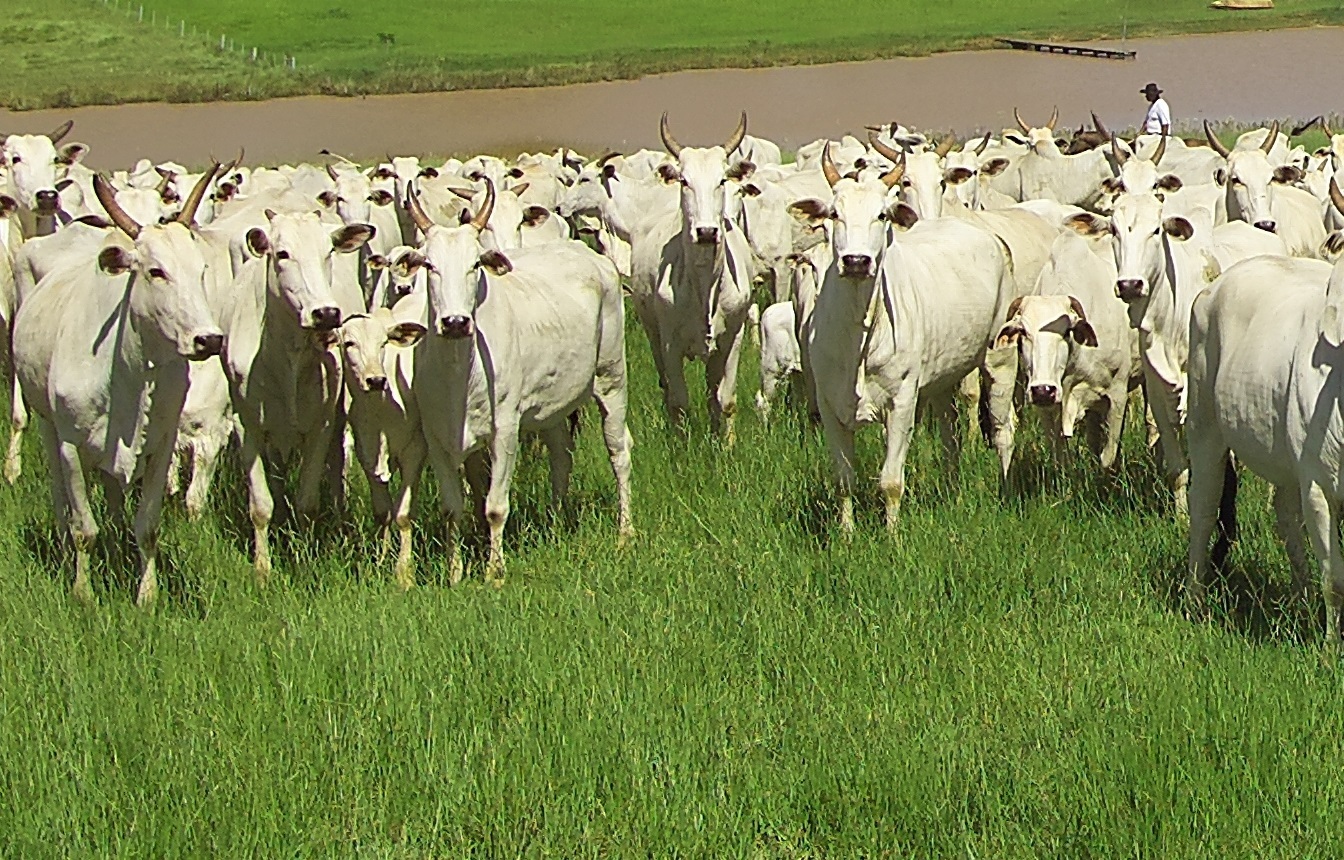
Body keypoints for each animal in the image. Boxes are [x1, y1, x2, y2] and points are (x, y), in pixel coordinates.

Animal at [10, 169, 221, 604]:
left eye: (201, 271)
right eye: (156, 271)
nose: (209, 340)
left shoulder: (161, 445)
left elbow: (148, 527)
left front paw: (146, 595)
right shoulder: (71, 446)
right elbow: (83, 529)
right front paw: (83, 593)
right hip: (46, 422)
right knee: (61, 498)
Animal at [405, 180, 631, 585]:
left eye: (475, 264)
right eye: (429, 265)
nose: (455, 322)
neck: (459, 372)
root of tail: (591, 256)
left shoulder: (505, 431)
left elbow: (495, 506)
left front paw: (494, 572)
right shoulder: (437, 438)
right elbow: (452, 509)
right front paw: (455, 574)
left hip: (612, 378)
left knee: (619, 451)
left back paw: (625, 533)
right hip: (553, 406)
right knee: (561, 456)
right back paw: (556, 524)